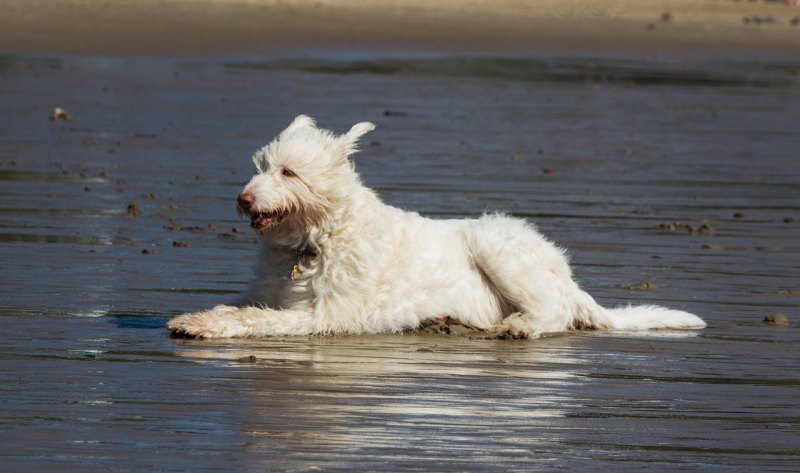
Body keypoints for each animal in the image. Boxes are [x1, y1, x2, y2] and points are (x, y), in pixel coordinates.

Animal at [169, 115, 708, 338]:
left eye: (288, 172)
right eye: (261, 165)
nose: (242, 199)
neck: (314, 238)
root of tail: (571, 282)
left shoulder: (327, 315)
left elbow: (258, 319)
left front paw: (206, 326)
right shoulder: (269, 291)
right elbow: (238, 305)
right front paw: (196, 316)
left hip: (496, 245)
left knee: (554, 313)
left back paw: (521, 327)